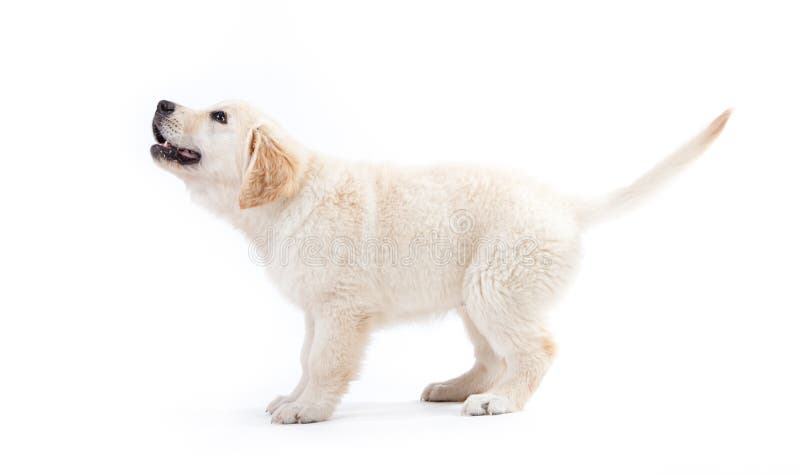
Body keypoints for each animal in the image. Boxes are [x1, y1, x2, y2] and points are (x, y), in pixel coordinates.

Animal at [150, 100, 732, 424]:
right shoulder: (316, 309)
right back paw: (457, 388)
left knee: (535, 351)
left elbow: (325, 362)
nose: (162, 102)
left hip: (496, 285)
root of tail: (563, 204)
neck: (289, 197)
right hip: (475, 296)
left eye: (219, 116)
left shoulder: (341, 308)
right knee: (492, 358)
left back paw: (498, 403)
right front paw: (293, 397)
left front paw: (308, 410)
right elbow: (305, 357)